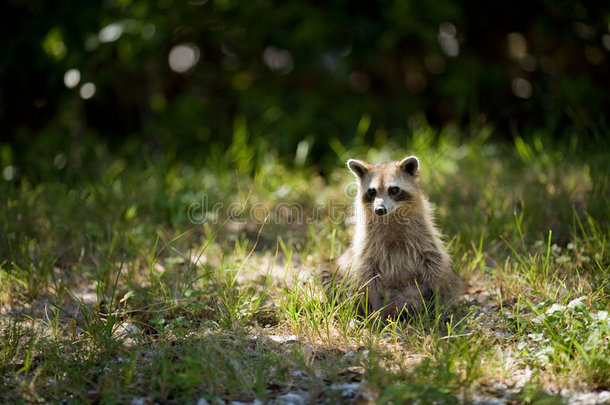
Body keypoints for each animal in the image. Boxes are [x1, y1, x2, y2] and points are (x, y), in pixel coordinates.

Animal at [318, 156, 460, 318]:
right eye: (371, 191)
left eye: (394, 189)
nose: (380, 210)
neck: (391, 216)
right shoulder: (366, 248)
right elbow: (368, 277)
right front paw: (377, 313)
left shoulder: (424, 238)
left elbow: (434, 265)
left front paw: (439, 307)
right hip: (335, 270)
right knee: (331, 280)